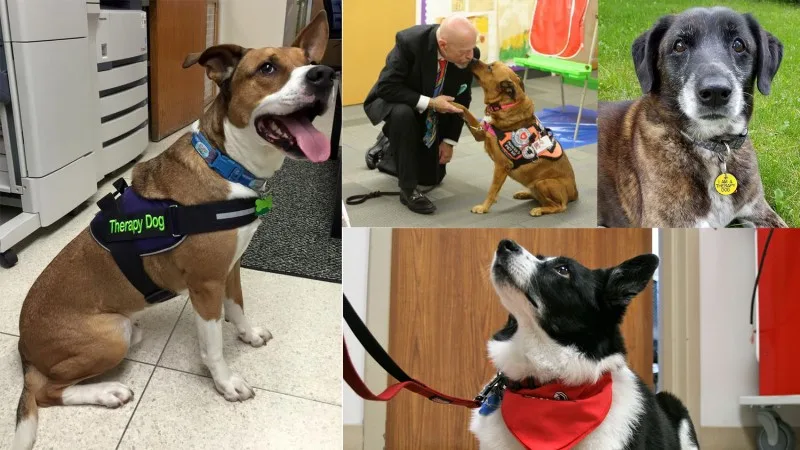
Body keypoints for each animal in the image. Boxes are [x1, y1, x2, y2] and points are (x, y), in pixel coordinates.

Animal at [12, 10, 332, 450]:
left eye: (309, 60)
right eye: (268, 68)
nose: (326, 74)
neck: (225, 163)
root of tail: (23, 348)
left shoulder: (231, 268)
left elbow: (239, 307)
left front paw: (248, 335)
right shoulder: (206, 285)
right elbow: (213, 346)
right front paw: (226, 383)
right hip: (110, 336)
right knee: (47, 392)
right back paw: (107, 392)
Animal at [454, 59, 580, 217]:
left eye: (489, 68)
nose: (472, 59)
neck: (504, 104)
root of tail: (575, 193)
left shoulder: (501, 166)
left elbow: (492, 190)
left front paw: (483, 207)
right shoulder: (480, 133)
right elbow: (463, 108)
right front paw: (445, 102)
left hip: (543, 183)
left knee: (559, 206)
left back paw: (539, 209)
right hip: (536, 185)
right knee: (540, 197)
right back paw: (524, 194)